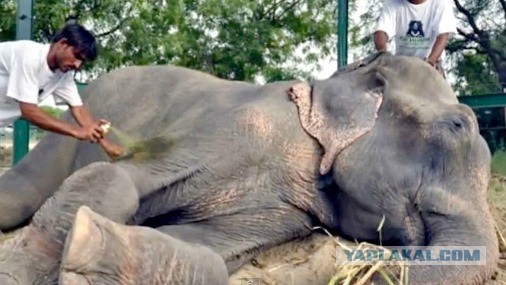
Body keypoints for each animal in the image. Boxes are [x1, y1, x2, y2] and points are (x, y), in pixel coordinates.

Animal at [0, 51, 496, 284]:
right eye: (457, 126)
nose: (364, 267)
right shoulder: (236, 126)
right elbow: (120, 175)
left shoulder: (287, 210)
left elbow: (206, 248)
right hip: (63, 134)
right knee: (19, 195)